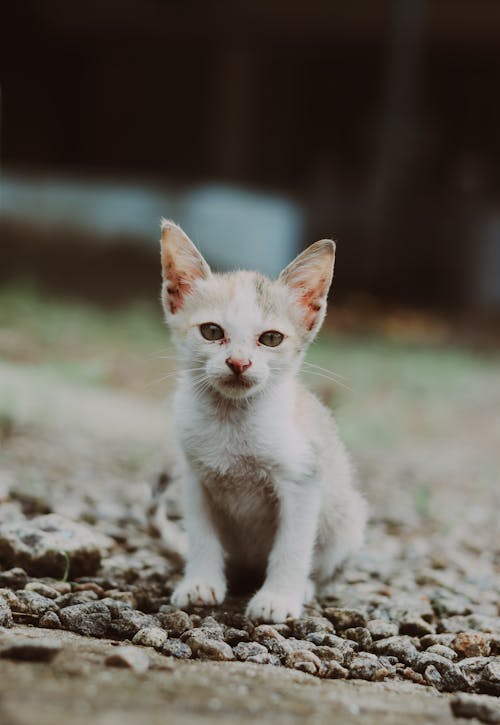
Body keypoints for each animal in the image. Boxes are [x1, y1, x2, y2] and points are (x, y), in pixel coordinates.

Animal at [160, 221, 368, 624]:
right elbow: (202, 534)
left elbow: (292, 546)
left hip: (349, 519)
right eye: (211, 331)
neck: (232, 421)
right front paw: (200, 583)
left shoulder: (303, 480)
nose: (238, 363)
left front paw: (279, 597)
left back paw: (303, 587)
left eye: (271, 338)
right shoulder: (195, 477)